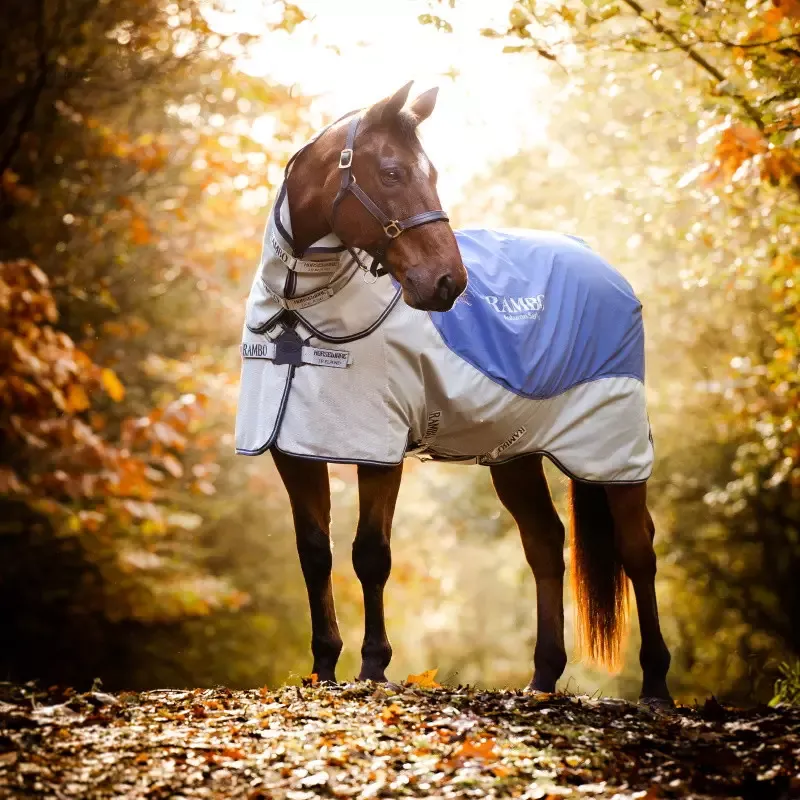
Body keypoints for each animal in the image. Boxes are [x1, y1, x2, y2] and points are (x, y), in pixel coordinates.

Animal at [235, 82, 673, 704]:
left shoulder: (379, 450)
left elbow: (370, 555)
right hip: (517, 454)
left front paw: (374, 666)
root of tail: (604, 267)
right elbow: (315, 554)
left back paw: (656, 683)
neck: (302, 309)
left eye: (432, 173)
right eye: (391, 173)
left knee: (638, 548)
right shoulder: (293, 448)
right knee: (545, 544)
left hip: (613, 449)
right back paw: (542, 678)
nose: (449, 283)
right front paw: (323, 667)